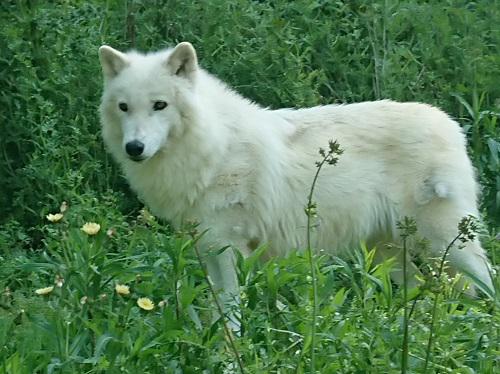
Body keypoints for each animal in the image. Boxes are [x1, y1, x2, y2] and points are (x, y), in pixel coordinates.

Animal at [99, 41, 494, 322]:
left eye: (160, 105)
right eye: (124, 107)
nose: (134, 148)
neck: (213, 147)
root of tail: (449, 122)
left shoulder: (229, 248)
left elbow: (231, 311)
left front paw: (229, 356)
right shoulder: (206, 248)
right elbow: (216, 310)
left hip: (448, 245)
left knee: (487, 283)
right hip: (390, 254)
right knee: (430, 290)